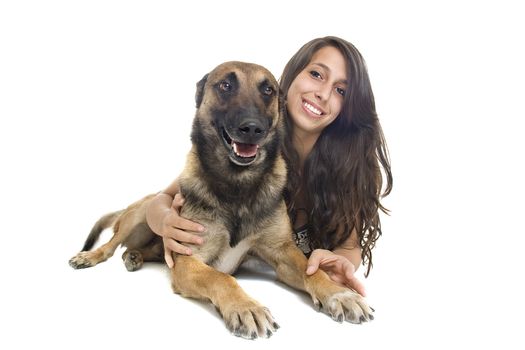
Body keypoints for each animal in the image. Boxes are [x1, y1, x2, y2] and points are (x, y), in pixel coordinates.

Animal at [69, 60, 372, 340]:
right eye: (225, 85)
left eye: (268, 90)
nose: (252, 128)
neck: (238, 185)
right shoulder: (189, 261)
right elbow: (220, 277)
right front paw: (246, 307)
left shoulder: (283, 254)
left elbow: (312, 271)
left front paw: (339, 293)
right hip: (141, 214)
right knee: (111, 244)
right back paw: (90, 256)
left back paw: (134, 256)